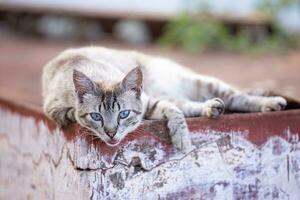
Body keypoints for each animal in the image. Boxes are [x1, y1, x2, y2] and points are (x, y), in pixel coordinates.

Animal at [42, 46, 286, 152]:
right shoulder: (56, 110)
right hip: (182, 94)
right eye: (96, 117)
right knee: (195, 104)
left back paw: (272, 102)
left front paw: (182, 141)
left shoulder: (148, 102)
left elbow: (175, 115)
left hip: (203, 83)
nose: (111, 134)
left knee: (238, 96)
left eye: (123, 114)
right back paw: (212, 108)